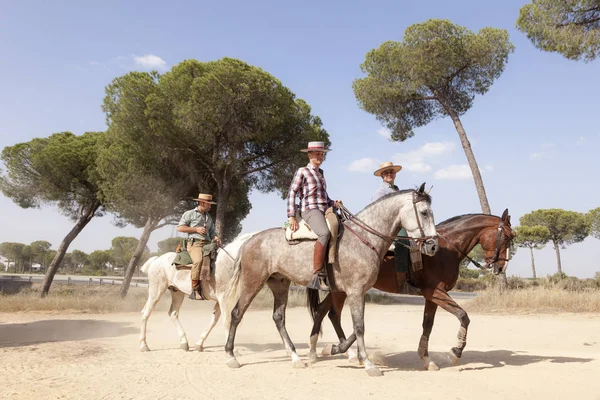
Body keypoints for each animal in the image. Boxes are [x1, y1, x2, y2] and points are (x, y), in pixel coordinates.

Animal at [223, 185, 438, 378]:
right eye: (424, 212)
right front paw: (367, 363)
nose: (433, 246)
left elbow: (353, 326)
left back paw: (295, 357)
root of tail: (251, 239)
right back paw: (231, 356)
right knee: (236, 313)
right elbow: (359, 327)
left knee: (279, 318)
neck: (364, 239)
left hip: (279, 284)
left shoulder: (352, 292)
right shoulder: (355, 292)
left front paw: (337, 349)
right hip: (253, 282)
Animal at [308, 211, 512, 370]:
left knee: (324, 312)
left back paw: (325, 351)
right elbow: (463, 316)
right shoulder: (435, 292)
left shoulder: (432, 297)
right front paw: (455, 353)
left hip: (339, 290)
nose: (501, 267)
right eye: (506, 238)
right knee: (332, 313)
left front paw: (427, 359)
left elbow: (427, 325)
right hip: (342, 290)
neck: (444, 251)